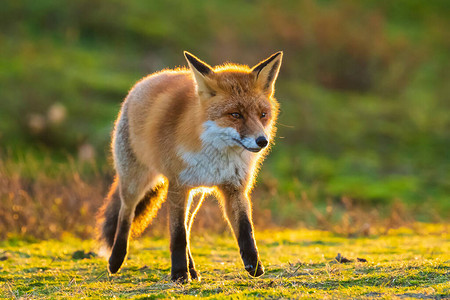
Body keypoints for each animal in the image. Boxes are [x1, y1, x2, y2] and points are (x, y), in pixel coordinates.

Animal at [97, 50, 284, 282]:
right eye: (235, 115)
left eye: (263, 115)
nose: (262, 141)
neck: (215, 154)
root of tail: (145, 81)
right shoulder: (178, 185)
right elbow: (177, 235)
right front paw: (178, 274)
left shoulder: (234, 187)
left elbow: (245, 230)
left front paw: (254, 265)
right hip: (136, 181)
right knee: (126, 214)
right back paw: (116, 260)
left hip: (195, 195)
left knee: (187, 225)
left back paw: (193, 270)